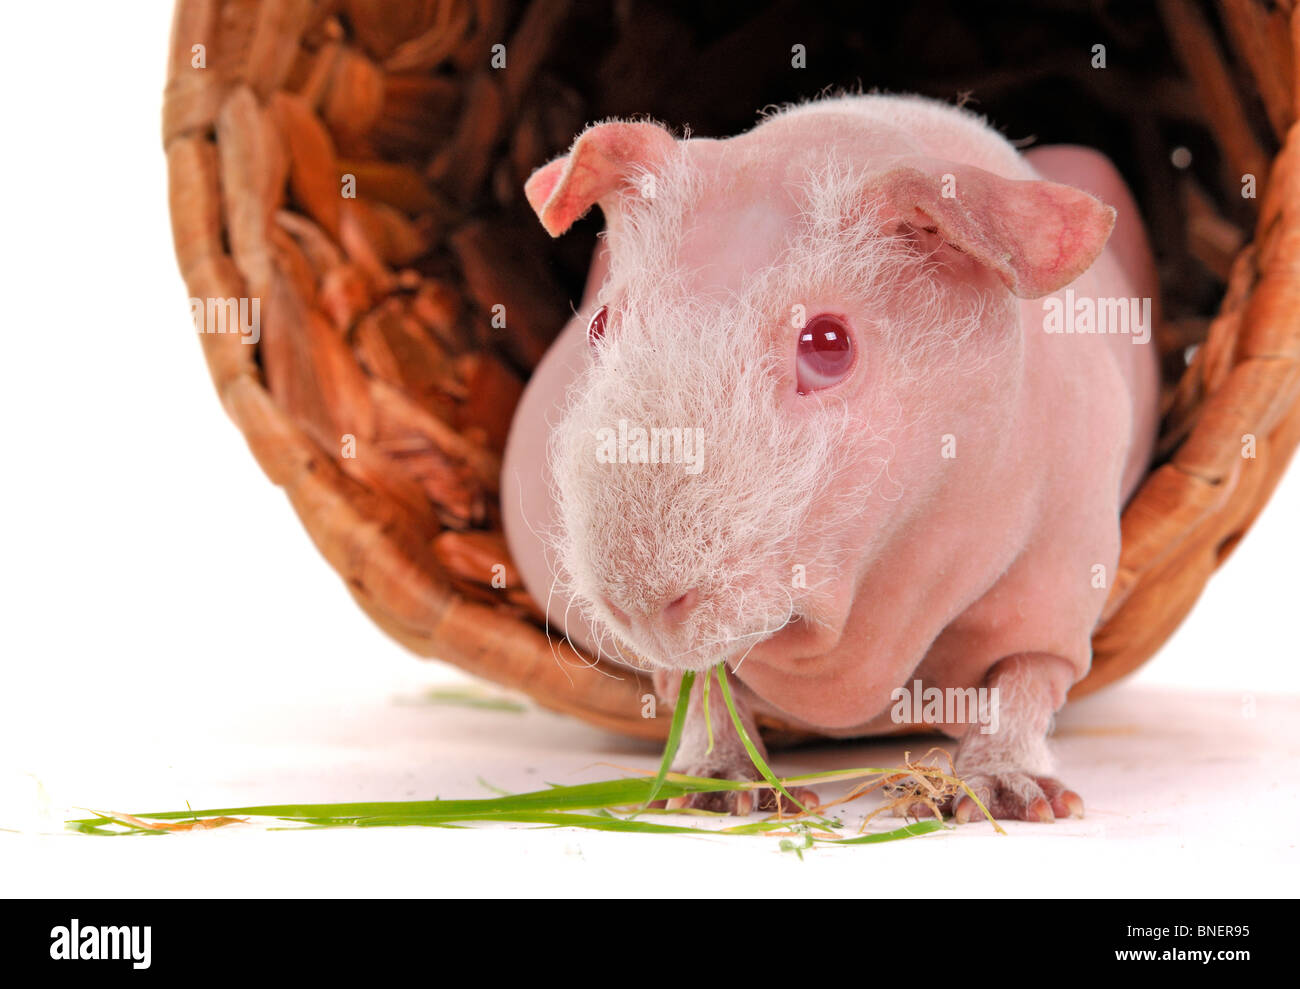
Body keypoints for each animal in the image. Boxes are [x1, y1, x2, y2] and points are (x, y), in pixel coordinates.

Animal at [501, 94, 1161, 822]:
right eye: (599, 325)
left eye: (828, 343)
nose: (640, 605)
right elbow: (701, 689)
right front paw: (723, 793)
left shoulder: (1058, 585)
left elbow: (1022, 681)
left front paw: (1013, 798)